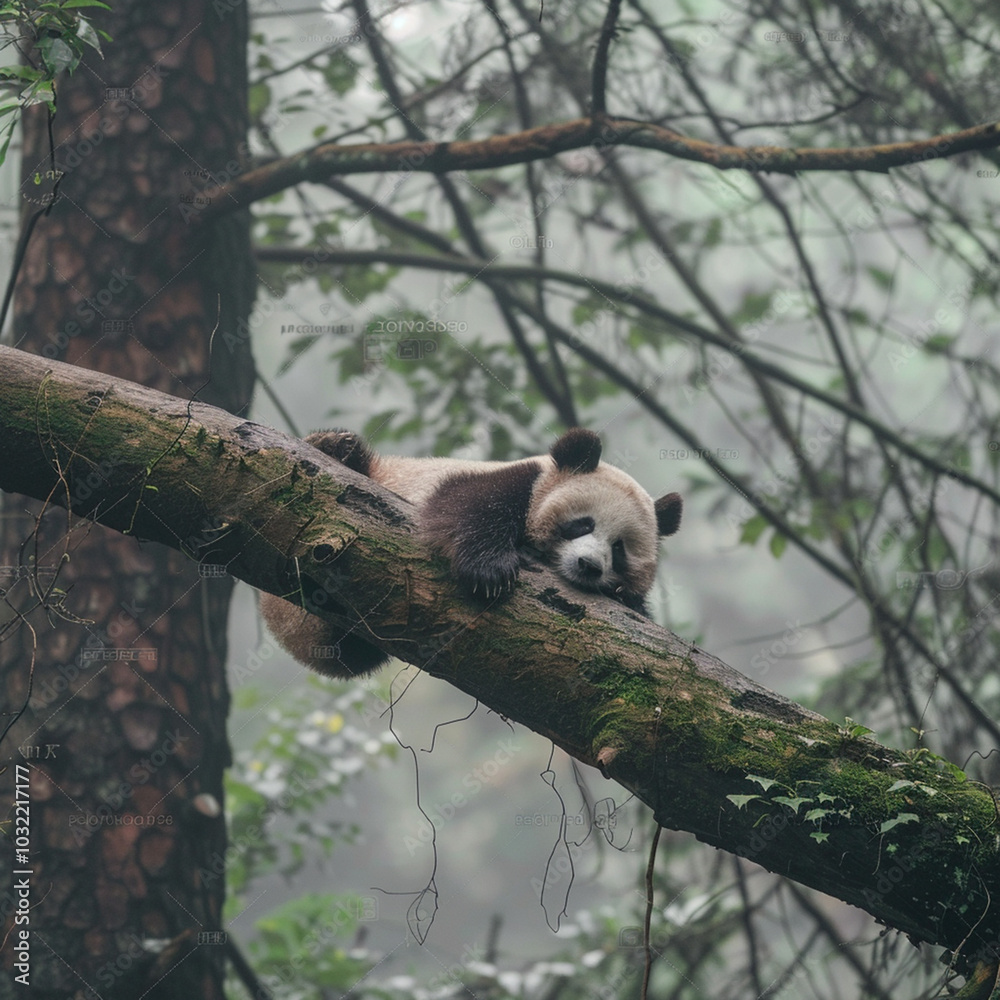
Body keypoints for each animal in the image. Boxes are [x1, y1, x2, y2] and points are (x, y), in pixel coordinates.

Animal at [259, 427, 682, 679]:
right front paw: (491, 574)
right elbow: (463, 508)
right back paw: (337, 448)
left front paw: (623, 595)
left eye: (619, 549)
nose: (589, 566)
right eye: (581, 524)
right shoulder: (511, 481)